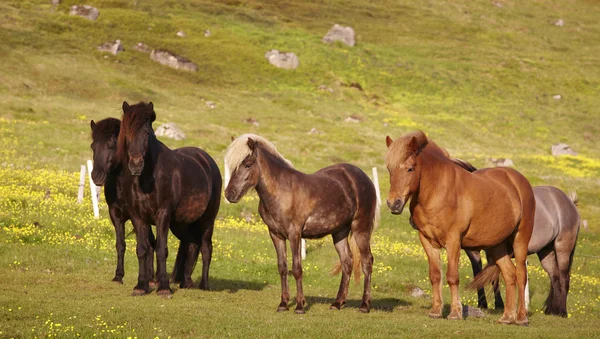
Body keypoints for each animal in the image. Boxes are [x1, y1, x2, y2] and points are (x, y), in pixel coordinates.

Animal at [116, 101, 221, 298]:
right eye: (126, 132)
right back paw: (186, 282)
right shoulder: (137, 216)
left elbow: (161, 249)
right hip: (180, 224)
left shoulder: (162, 214)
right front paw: (141, 286)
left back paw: (204, 285)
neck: (146, 178)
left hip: (207, 220)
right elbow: (142, 249)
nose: (135, 165)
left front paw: (163, 287)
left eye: (147, 133)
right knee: (191, 244)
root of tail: (207, 161)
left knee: (206, 248)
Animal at [223, 134, 378, 314]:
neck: (281, 191)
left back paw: (364, 305)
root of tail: (363, 178)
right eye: (232, 166)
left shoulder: (294, 234)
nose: (229, 194)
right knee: (347, 262)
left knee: (367, 262)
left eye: (247, 164)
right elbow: (282, 267)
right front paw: (283, 304)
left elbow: (296, 269)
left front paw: (299, 306)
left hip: (361, 229)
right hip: (339, 232)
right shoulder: (276, 235)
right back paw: (337, 302)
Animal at [386, 131, 536, 326]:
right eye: (389, 169)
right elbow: (435, 275)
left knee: (521, 275)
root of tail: (519, 180)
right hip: (496, 246)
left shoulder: (453, 241)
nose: (393, 204)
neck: (439, 192)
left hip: (520, 239)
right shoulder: (427, 241)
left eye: (410, 168)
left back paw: (521, 318)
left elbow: (452, 277)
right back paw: (506, 317)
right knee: (509, 274)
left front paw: (455, 313)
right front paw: (435, 311)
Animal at [466, 185, 580, 318]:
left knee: (564, 277)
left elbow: (494, 278)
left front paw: (499, 305)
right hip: (546, 252)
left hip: (563, 249)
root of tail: (569, 202)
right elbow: (478, 274)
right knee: (554, 276)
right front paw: (483, 304)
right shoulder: (473, 252)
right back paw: (552, 310)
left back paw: (562, 312)